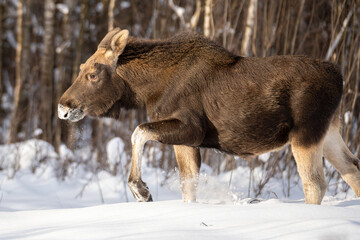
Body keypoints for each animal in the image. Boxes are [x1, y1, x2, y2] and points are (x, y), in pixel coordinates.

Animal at [59, 28, 360, 204]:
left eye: (93, 74)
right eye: (82, 68)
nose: (63, 107)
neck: (147, 90)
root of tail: (340, 78)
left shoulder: (192, 129)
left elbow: (139, 131)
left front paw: (141, 189)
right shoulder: (186, 141)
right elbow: (188, 187)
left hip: (305, 133)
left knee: (316, 184)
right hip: (329, 131)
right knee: (352, 169)